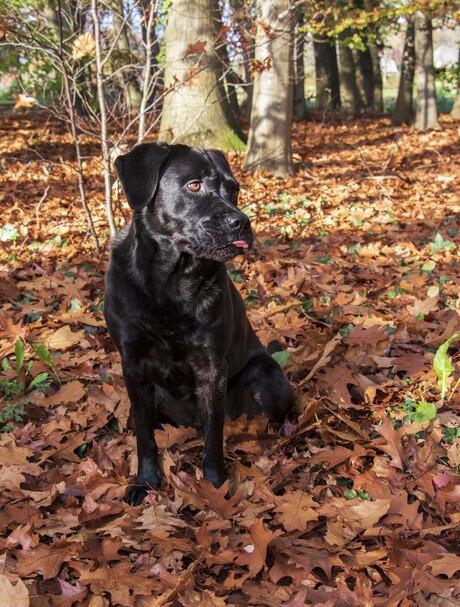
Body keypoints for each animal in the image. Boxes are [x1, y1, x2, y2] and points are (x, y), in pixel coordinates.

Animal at [104, 142, 294, 504]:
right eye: (194, 185)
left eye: (234, 189)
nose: (242, 222)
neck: (171, 282)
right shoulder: (133, 367)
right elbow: (144, 435)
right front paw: (145, 480)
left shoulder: (212, 368)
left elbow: (213, 437)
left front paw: (215, 485)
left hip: (265, 379)